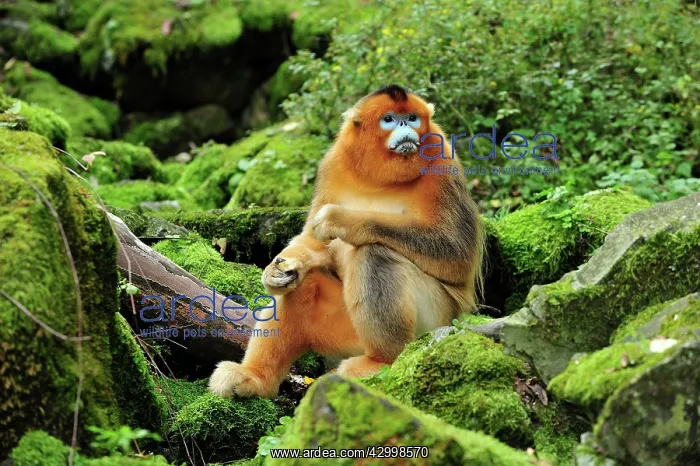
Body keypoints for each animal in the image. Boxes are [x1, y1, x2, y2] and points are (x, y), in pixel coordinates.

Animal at [208, 85, 486, 398]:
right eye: (389, 119)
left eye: (413, 118)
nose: (405, 125)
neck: (382, 179)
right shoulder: (334, 163)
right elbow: (312, 242)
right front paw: (273, 273)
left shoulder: (443, 161)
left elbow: (456, 255)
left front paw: (340, 220)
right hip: (347, 337)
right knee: (304, 286)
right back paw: (255, 378)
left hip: (437, 318)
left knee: (374, 254)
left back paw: (382, 360)